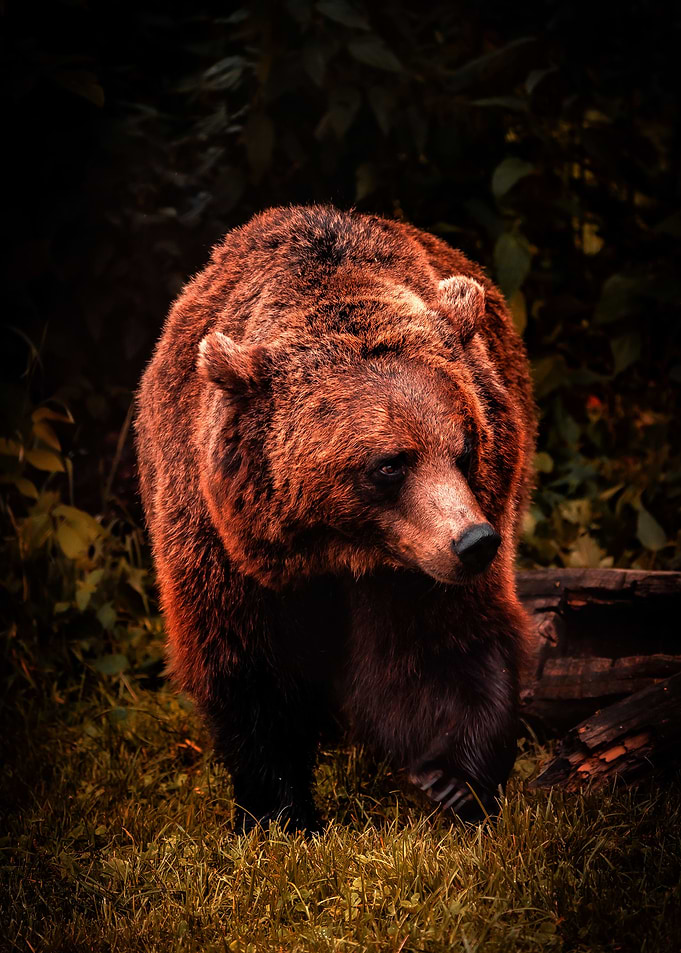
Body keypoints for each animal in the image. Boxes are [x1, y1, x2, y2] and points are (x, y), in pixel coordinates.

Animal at [135, 204, 537, 831]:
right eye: (389, 464)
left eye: (465, 446)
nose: (475, 542)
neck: (337, 548)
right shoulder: (219, 542)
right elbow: (248, 667)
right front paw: (280, 809)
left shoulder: (419, 561)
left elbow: (444, 643)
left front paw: (452, 782)